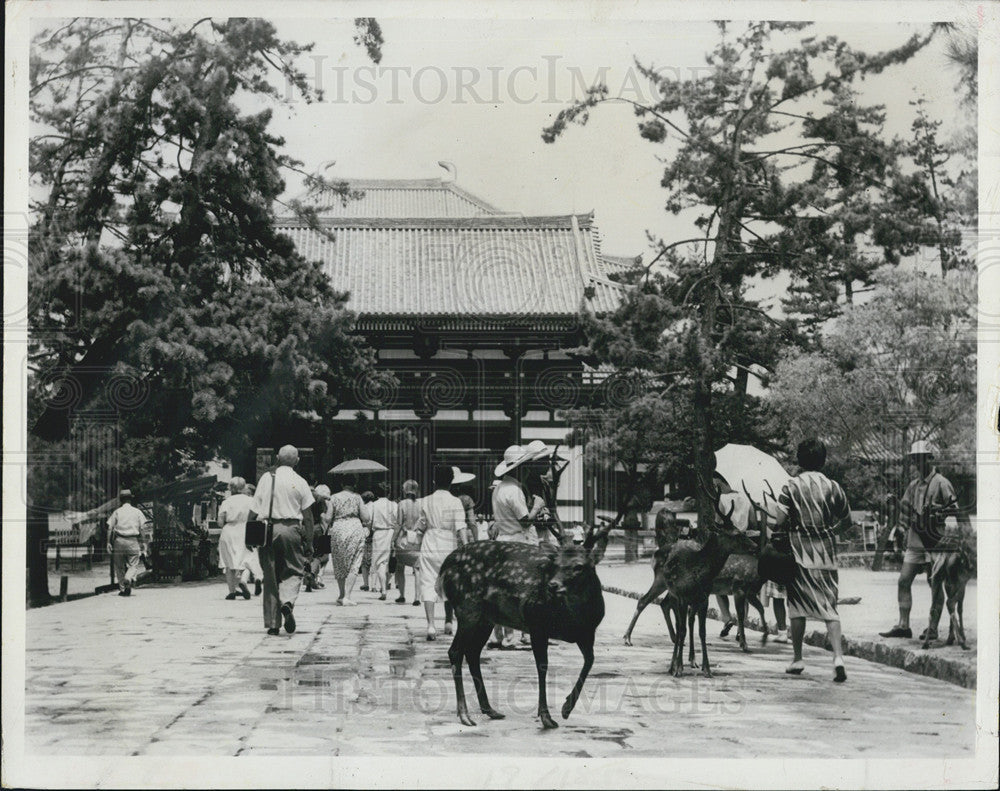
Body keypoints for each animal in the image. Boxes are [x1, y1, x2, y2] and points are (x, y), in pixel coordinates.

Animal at [438, 524, 608, 732]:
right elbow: (542, 666)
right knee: (455, 651)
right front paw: (546, 717)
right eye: (555, 563)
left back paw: (491, 710)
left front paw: (566, 708)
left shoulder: (587, 633)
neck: (576, 618)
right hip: (467, 607)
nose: (552, 585)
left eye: (579, 566)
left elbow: (590, 661)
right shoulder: (536, 622)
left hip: (486, 619)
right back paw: (464, 715)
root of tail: (444, 566)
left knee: (472, 653)